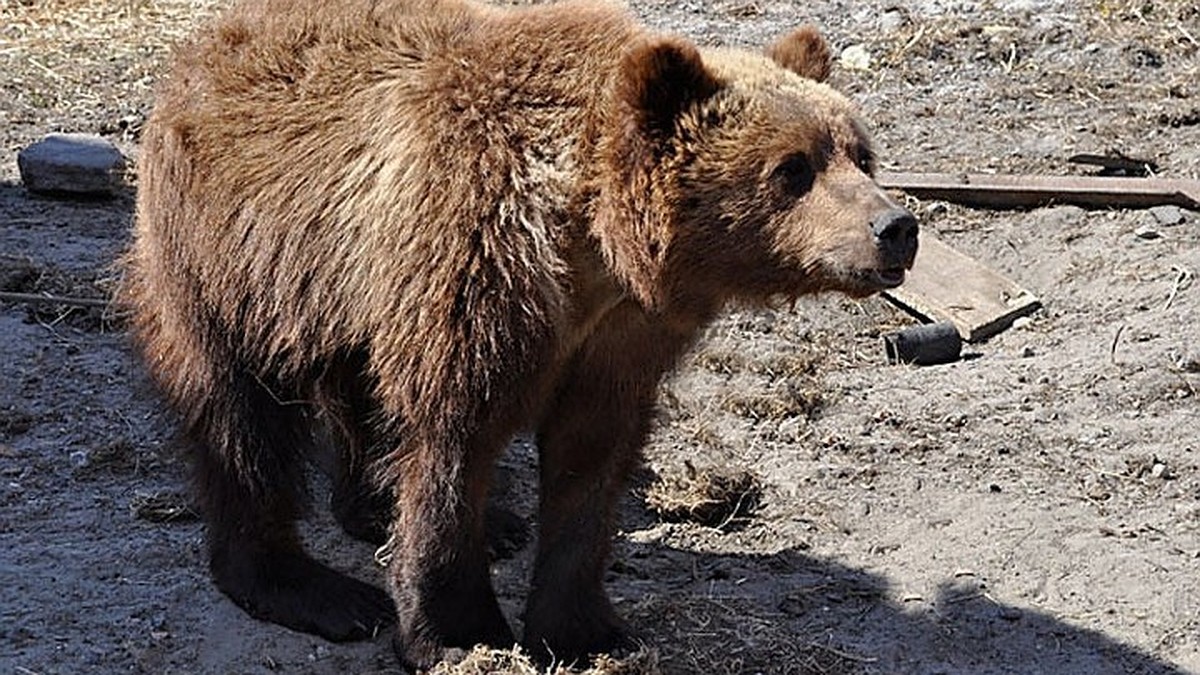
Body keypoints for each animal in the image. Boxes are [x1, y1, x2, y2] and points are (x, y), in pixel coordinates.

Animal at [121, 0, 916, 662]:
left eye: (861, 152)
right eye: (792, 168)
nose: (896, 226)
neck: (585, 245)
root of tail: (202, 47)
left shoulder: (620, 334)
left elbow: (591, 461)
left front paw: (584, 628)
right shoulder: (474, 269)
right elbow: (453, 442)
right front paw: (457, 631)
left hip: (349, 282)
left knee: (360, 389)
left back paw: (394, 509)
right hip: (232, 251)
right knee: (239, 410)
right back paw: (313, 587)